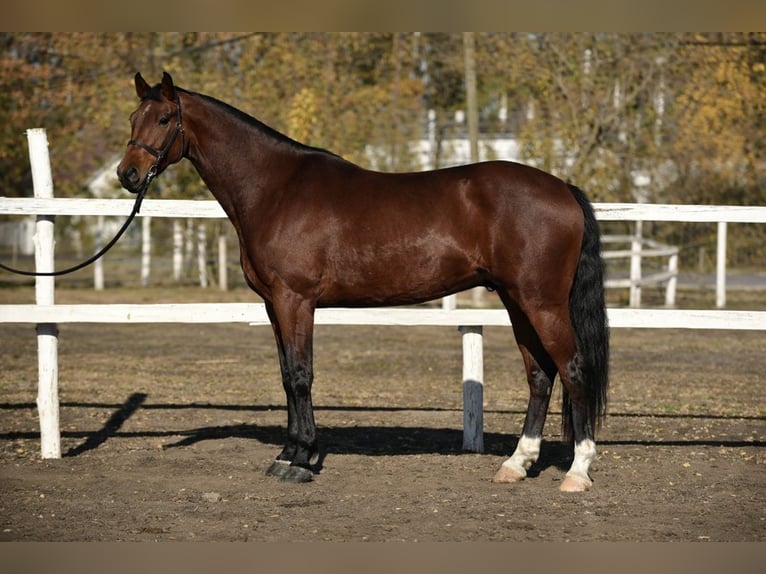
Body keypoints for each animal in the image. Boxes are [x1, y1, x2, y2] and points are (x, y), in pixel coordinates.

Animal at [117, 72, 609, 491]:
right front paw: (286, 454)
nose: (128, 175)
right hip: (515, 300)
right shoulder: (273, 305)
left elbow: (301, 375)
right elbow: (286, 375)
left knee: (573, 369)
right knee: (540, 375)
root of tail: (563, 189)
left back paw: (577, 472)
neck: (276, 188)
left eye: (164, 119)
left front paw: (301, 460)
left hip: (542, 303)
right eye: (132, 118)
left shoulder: (295, 300)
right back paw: (515, 464)